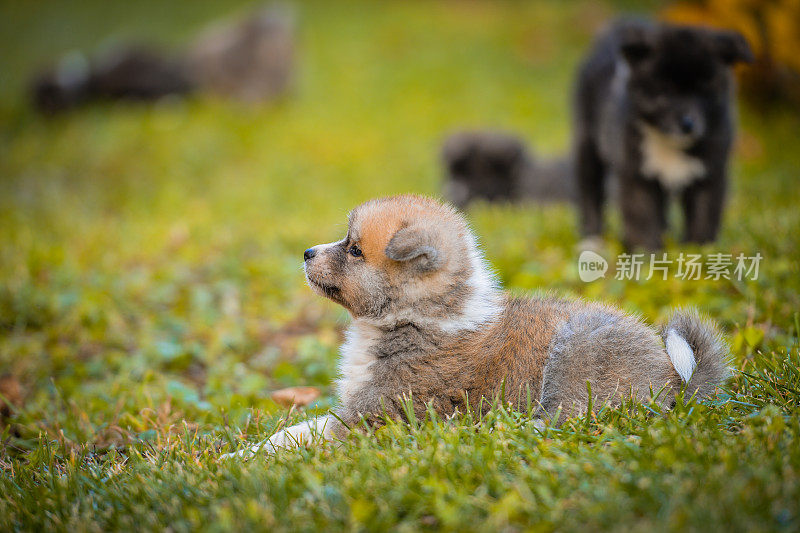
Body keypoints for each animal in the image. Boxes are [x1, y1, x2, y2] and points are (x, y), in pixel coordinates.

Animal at [225, 195, 732, 458]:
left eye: (354, 251)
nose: (307, 253)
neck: (414, 317)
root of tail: (676, 379)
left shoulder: (374, 415)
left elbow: (299, 436)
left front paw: (240, 459)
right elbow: (294, 430)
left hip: (575, 352)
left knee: (572, 416)